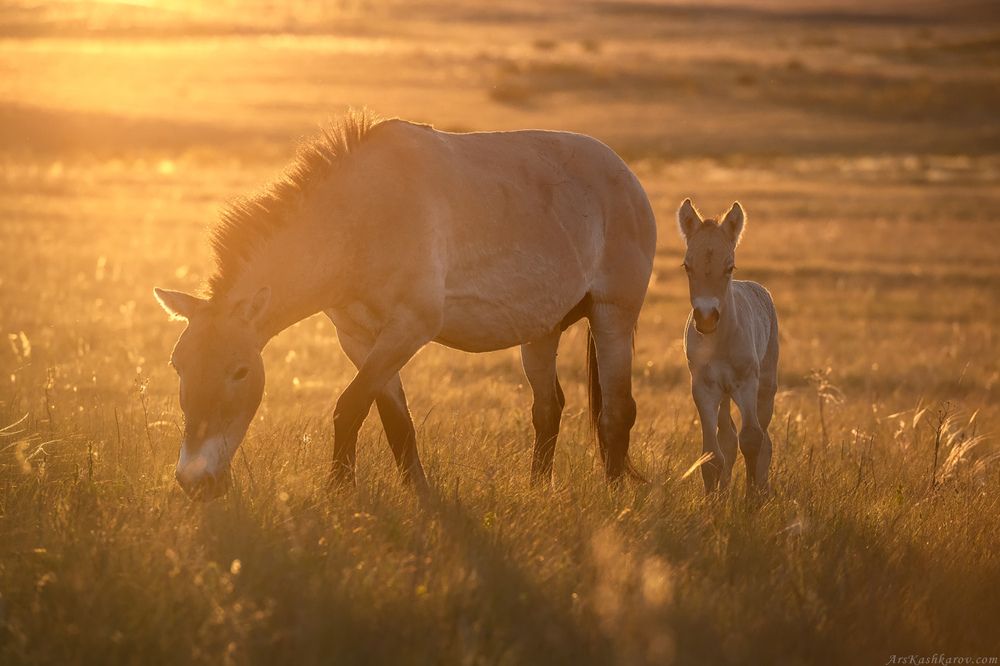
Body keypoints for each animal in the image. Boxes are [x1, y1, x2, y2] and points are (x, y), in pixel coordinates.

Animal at [154, 111, 656, 499]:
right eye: (179, 365)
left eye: (240, 371)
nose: (194, 481)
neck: (361, 219)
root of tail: (626, 177)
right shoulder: (360, 339)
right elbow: (396, 423)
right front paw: (418, 494)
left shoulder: (408, 330)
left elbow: (350, 408)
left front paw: (339, 493)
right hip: (541, 332)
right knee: (548, 409)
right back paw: (537, 491)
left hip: (613, 316)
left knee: (616, 410)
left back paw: (614, 501)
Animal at [677, 198, 778, 495]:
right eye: (687, 266)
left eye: (730, 267)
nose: (706, 318)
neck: (719, 343)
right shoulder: (704, 387)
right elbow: (712, 453)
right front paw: (712, 500)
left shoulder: (747, 383)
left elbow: (753, 439)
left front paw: (751, 498)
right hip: (723, 393)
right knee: (728, 438)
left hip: (766, 387)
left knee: (765, 439)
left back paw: (762, 490)